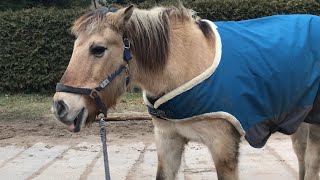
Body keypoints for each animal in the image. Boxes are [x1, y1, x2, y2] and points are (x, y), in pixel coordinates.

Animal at [52, 4, 320, 180]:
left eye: (98, 49)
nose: (60, 106)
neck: (185, 64)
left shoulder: (223, 147)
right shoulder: (167, 140)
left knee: (311, 162)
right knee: (301, 157)